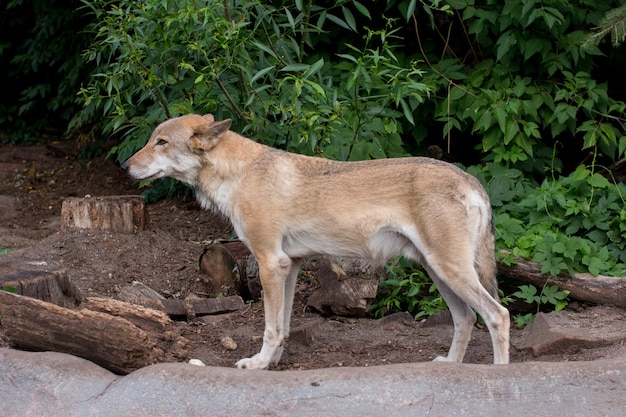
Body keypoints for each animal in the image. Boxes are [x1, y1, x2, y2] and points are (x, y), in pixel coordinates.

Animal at [120, 113, 508, 368]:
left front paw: (257, 364)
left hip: (451, 272)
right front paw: (273, 363)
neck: (241, 174)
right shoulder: (288, 266)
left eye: (161, 142)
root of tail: (472, 181)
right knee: (466, 319)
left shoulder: (269, 263)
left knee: (498, 315)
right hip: (439, 273)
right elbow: (283, 325)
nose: (124, 165)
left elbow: (270, 328)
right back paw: (450, 367)